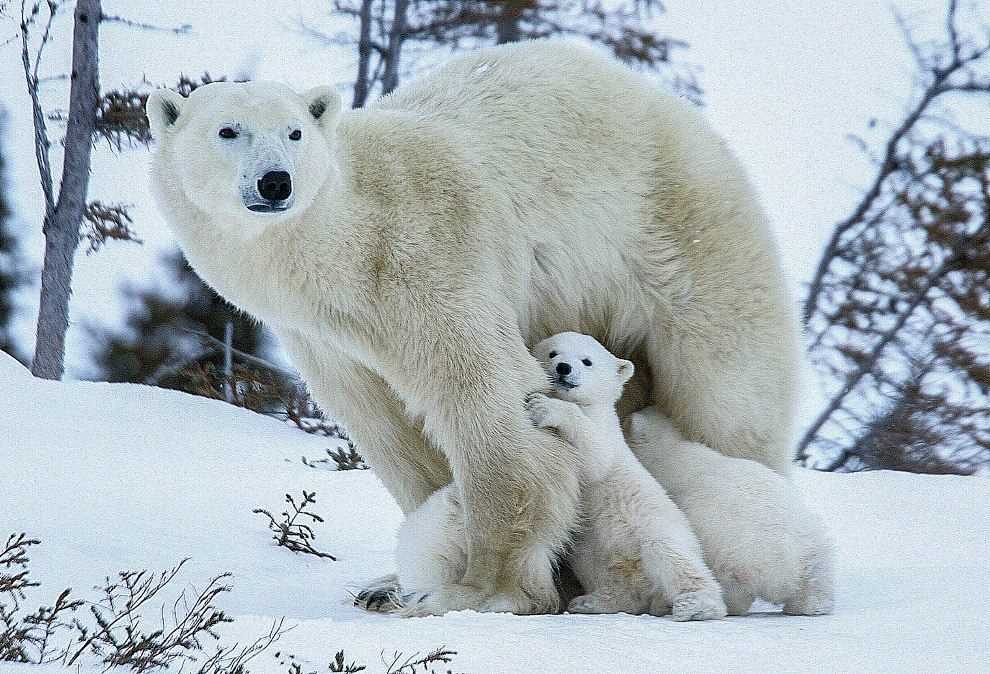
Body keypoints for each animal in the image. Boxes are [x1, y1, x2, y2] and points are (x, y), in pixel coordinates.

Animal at [396, 332, 728, 620]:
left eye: (587, 361)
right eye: (553, 352)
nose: (564, 368)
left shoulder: (606, 434)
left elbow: (594, 457)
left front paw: (545, 407)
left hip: (654, 527)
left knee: (675, 559)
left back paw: (697, 604)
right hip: (596, 555)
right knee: (616, 580)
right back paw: (592, 601)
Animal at [632, 404, 832, 616]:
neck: (671, 454)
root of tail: (793, 565)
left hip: (739, 553)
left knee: (734, 584)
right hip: (816, 549)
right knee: (816, 584)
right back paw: (809, 606)